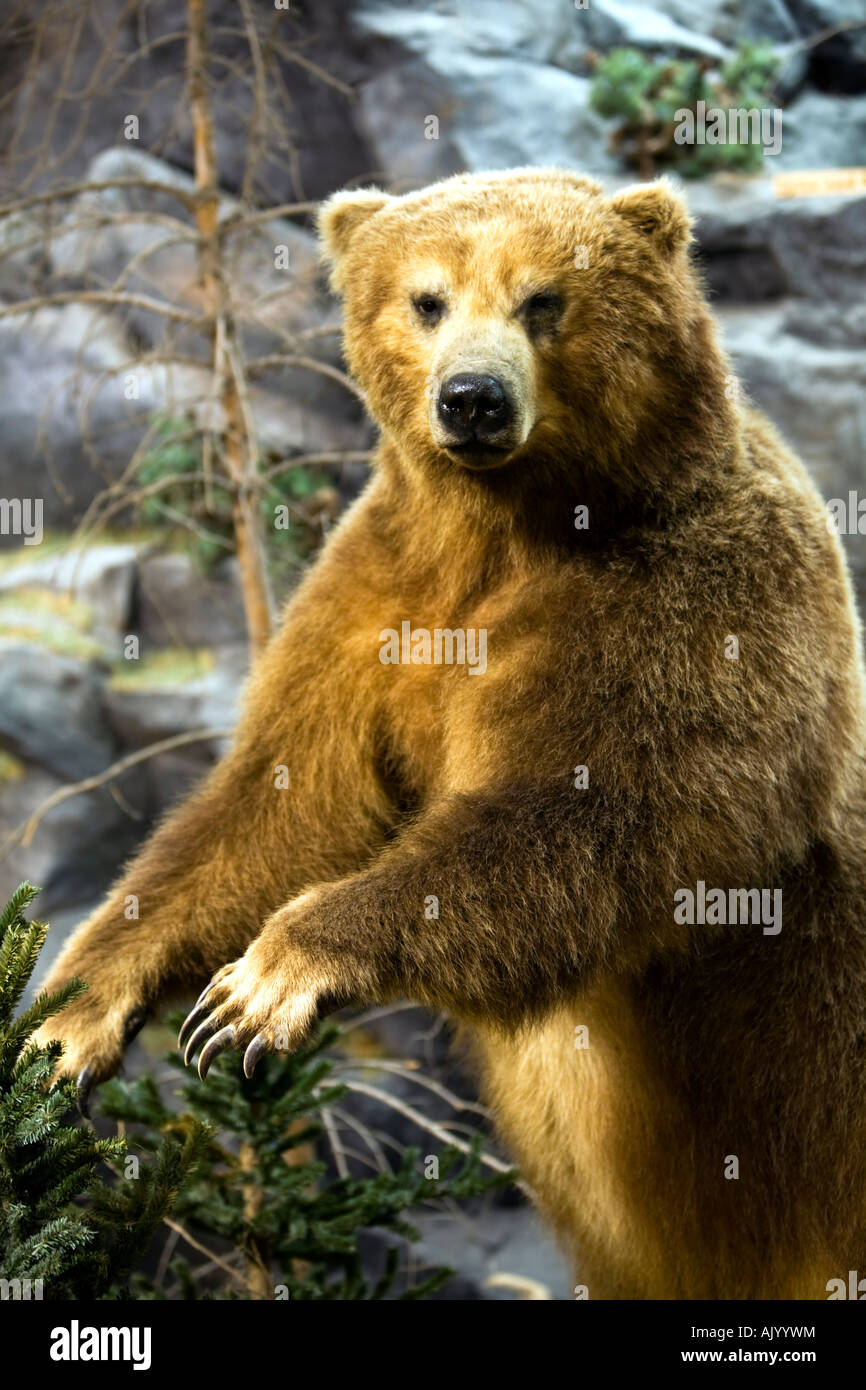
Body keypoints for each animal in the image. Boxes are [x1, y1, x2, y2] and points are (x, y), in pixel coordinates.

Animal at [35, 168, 866, 1295]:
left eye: (543, 297)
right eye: (426, 299)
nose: (471, 398)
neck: (506, 530)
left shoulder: (693, 603)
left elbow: (608, 819)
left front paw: (268, 977)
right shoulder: (375, 604)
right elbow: (277, 805)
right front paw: (69, 1018)